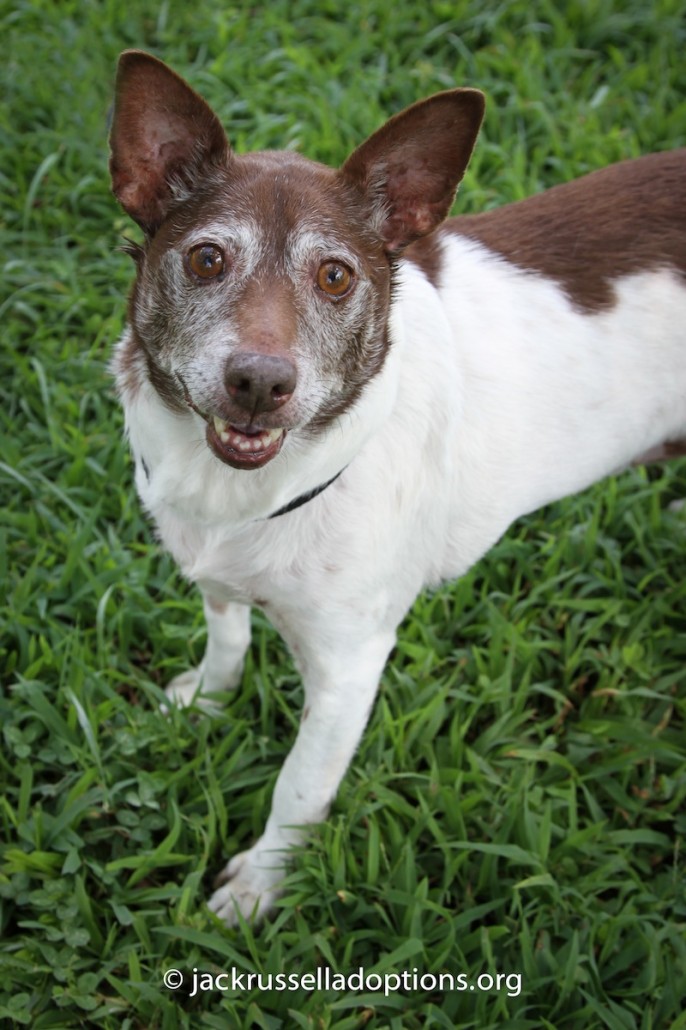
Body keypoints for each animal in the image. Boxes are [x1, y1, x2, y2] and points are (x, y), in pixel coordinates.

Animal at [108, 50, 683, 927]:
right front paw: (205, 697)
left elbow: (299, 789)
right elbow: (227, 633)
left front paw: (259, 886)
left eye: (335, 276)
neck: (248, 490)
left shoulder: (350, 669)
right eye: (207, 259)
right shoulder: (215, 572)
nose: (259, 383)